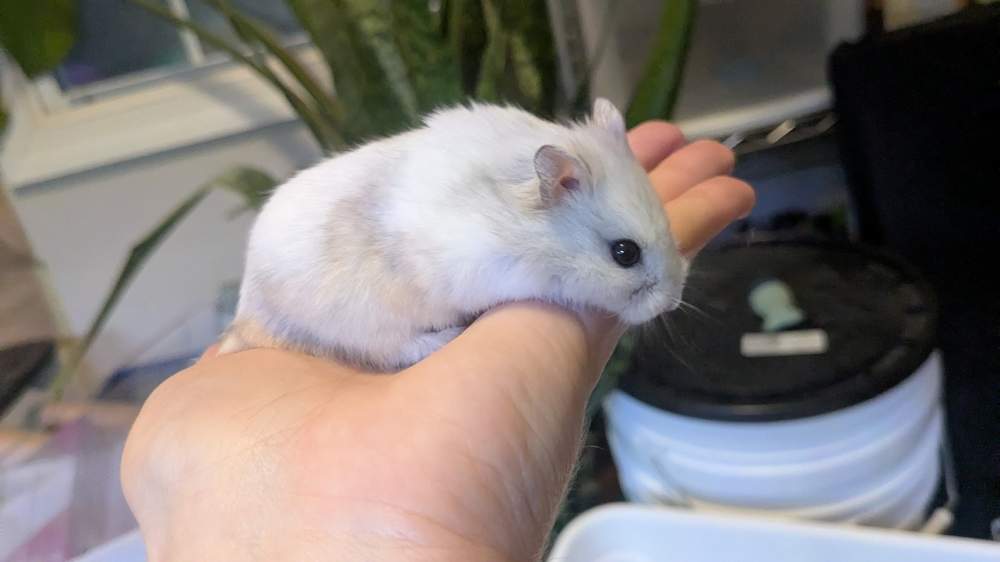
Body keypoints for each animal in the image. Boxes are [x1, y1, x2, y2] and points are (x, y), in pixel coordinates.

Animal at [218, 98, 688, 371]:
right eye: (624, 253)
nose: (672, 302)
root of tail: (247, 314)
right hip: (366, 324)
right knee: (395, 350)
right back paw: (448, 336)